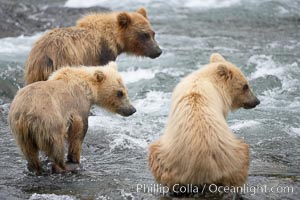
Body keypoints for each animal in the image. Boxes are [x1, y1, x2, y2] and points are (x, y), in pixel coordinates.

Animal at [24, 7, 162, 84]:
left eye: (153, 33)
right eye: (144, 35)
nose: (158, 51)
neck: (114, 39)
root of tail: (44, 55)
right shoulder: (101, 55)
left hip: (34, 72)